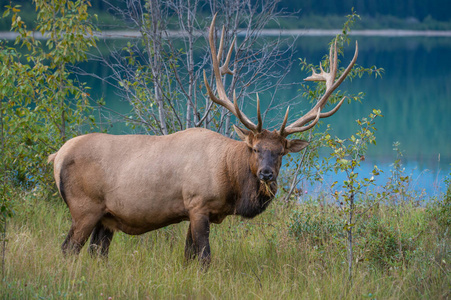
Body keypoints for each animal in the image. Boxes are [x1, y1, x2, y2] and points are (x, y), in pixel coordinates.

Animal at [47, 15, 358, 264]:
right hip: (84, 208)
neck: (230, 179)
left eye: (281, 152)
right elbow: (204, 257)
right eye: (255, 148)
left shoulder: (191, 211)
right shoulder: (198, 204)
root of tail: (57, 156)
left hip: (106, 217)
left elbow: (188, 256)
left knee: (96, 253)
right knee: (67, 249)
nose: (267, 174)